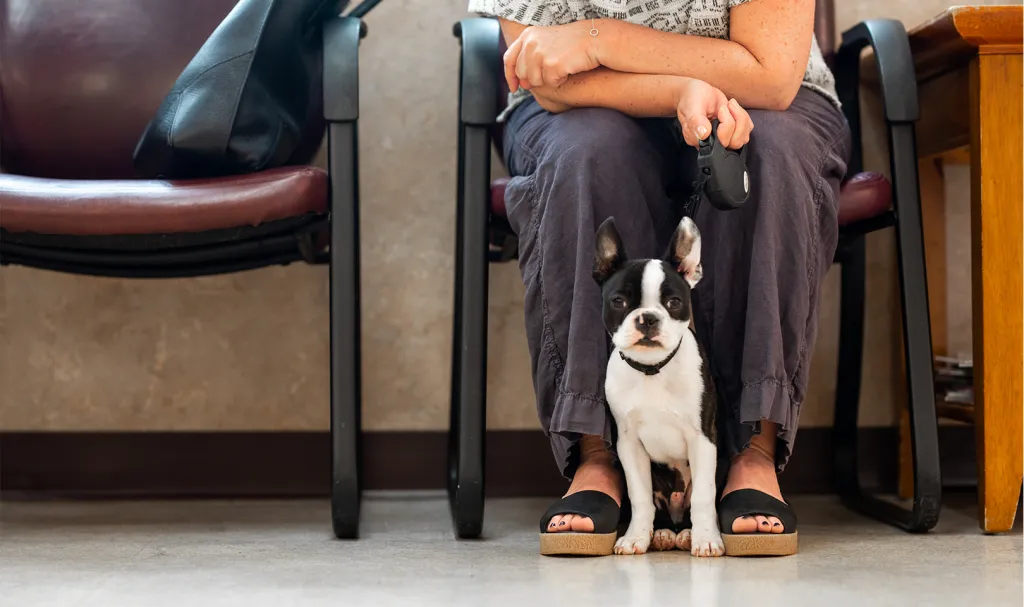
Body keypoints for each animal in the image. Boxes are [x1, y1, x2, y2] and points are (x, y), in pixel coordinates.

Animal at [589, 214, 724, 556]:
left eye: (674, 302)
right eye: (619, 301)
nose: (648, 318)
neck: (653, 370)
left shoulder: (703, 438)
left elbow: (703, 496)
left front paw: (706, 539)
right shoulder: (628, 444)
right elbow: (639, 497)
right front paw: (636, 537)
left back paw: (688, 533)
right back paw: (662, 533)